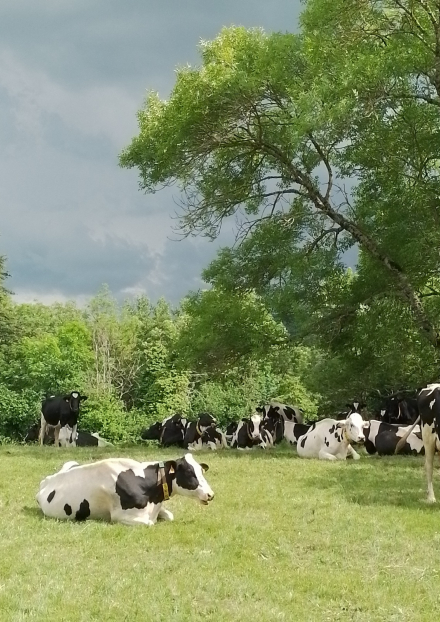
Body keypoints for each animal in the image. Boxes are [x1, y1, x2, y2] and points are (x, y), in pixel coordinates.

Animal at [35, 454, 214, 528]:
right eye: (189, 472)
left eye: (201, 470)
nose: (210, 494)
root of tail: (46, 479)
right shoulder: (119, 516)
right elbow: (150, 523)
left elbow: (170, 516)